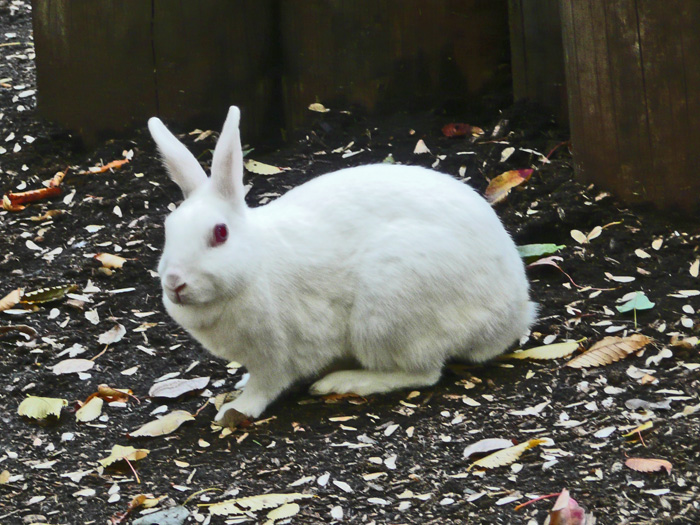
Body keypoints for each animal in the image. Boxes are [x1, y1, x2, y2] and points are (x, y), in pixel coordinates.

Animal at [148, 105, 536, 422]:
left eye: (220, 233)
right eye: (168, 230)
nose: (174, 282)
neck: (255, 262)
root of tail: (515, 313)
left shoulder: (275, 354)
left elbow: (265, 385)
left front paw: (237, 408)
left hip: (389, 312)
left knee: (423, 373)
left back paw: (344, 382)